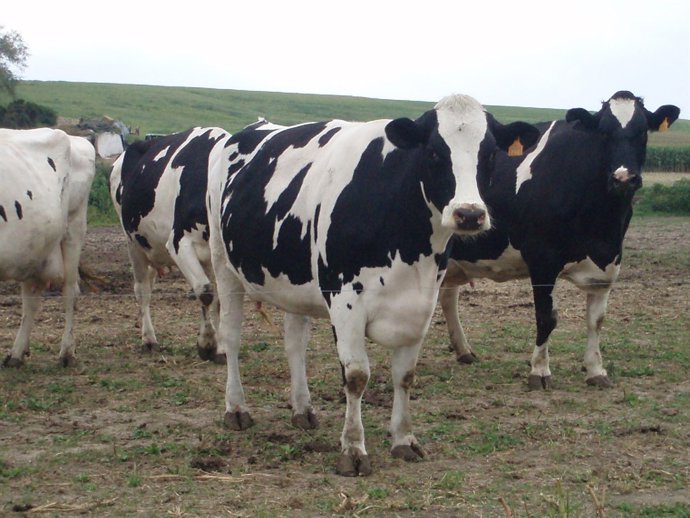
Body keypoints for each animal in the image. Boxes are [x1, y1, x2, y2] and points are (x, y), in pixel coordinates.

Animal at [1, 128, 96, 367]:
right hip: (33, 248)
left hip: (73, 228)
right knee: (31, 299)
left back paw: (67, 353)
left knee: (70, 291)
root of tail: (76, 139)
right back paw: (16, 353)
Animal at [109, 127, 230, 363]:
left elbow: (219, 299)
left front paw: (220, 348)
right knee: (142, 290)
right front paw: (206, 344)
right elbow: (205, 292)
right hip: (133, 243)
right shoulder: (178, 244)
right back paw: (148, 339)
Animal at [206, 95, 540, 476]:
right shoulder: (345, 300)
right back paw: (236, 408)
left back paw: (302, 409)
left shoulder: (421, 304)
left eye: (490, 154)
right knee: (232, 336)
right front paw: (353, 449)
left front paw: (404, 439)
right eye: (434, 152)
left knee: (295, 344)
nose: (469, 214)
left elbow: (405, 375)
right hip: (223, 263)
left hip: (294, 281)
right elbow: (356, 376)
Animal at [439, 91, 680, 389]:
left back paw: (463, 351)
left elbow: (596, 320)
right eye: (604, 133)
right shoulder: (542, 258)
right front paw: (539, 371)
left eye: (642, 131)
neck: (602, 224)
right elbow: (546, 317)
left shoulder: (608, 263)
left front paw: (596, 370)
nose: (623, 178)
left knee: (447, 296)